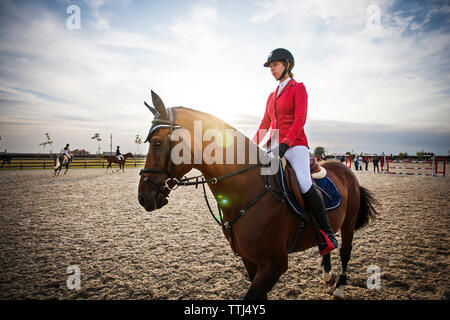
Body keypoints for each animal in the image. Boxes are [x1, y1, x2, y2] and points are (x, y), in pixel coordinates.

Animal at [138, 90, 380, 300]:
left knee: (345, 251)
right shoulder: (250, 261)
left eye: (157, 142)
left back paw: (339, 287)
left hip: (348, 224)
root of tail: (345, 169)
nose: (143, 197)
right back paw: (327, 274)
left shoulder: (274, 264)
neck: (248, 192)